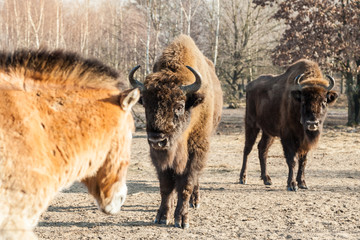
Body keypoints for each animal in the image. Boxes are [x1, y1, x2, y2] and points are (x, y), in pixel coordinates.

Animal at [129, 34, 222, 228]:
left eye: (179, 106)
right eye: (146, 104)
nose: (157, 140)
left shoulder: (196, 149)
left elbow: (186, 184)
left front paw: (182, 219)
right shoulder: (159, 155)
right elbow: (166, 186)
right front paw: (163, 216)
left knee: (195, 179)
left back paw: (195, 201)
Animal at [239, 59, 338, 191]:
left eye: (324, 102)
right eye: (303, 101)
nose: (312, 123)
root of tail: (249, 85)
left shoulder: (304, 141)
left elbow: (303, 160)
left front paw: (302, 183)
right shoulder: (287, 136)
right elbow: (292, 160)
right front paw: (291, 185)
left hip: (268, 132)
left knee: (262, 148)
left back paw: (267, 179)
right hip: (251, 124)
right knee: (247, 148)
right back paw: (243, 178)